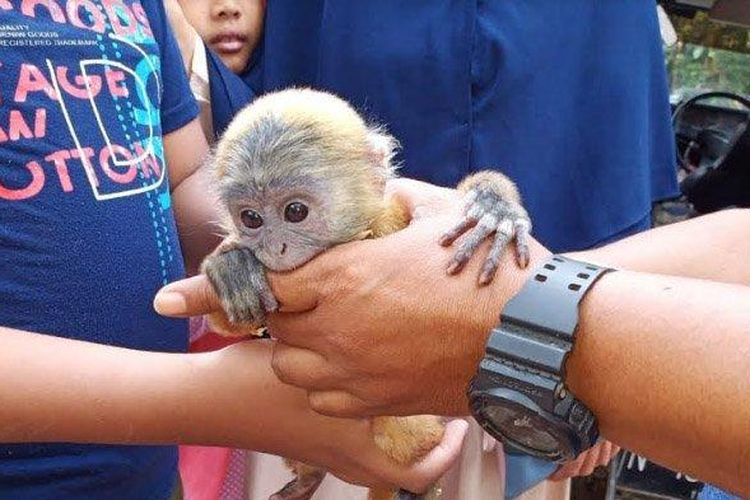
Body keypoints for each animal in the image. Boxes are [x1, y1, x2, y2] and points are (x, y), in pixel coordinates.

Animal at [203, 89, 532, 500]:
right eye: (250, 218)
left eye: (295, 211)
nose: (276, 248)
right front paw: (232, 265)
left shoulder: (390, 217)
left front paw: (494, 204)